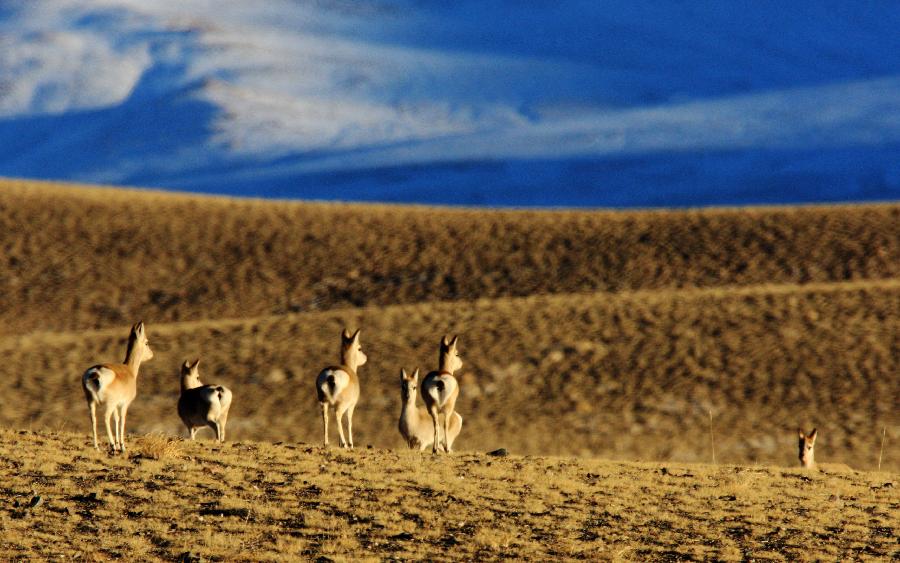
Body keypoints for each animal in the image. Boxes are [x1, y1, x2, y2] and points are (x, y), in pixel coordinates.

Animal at [81, 322, 154, 454]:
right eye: (146, 342)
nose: (151, 354)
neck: (129, 370)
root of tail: (95, 373)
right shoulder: (123, 404)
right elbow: (122, 420)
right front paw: (122, 446)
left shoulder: (116, 406)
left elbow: (116, 420)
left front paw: (118, 444)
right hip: (108, 404)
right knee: (105, 417)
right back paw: (112, 446)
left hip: (91, 402)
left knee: (93, 419)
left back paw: (97, 447)